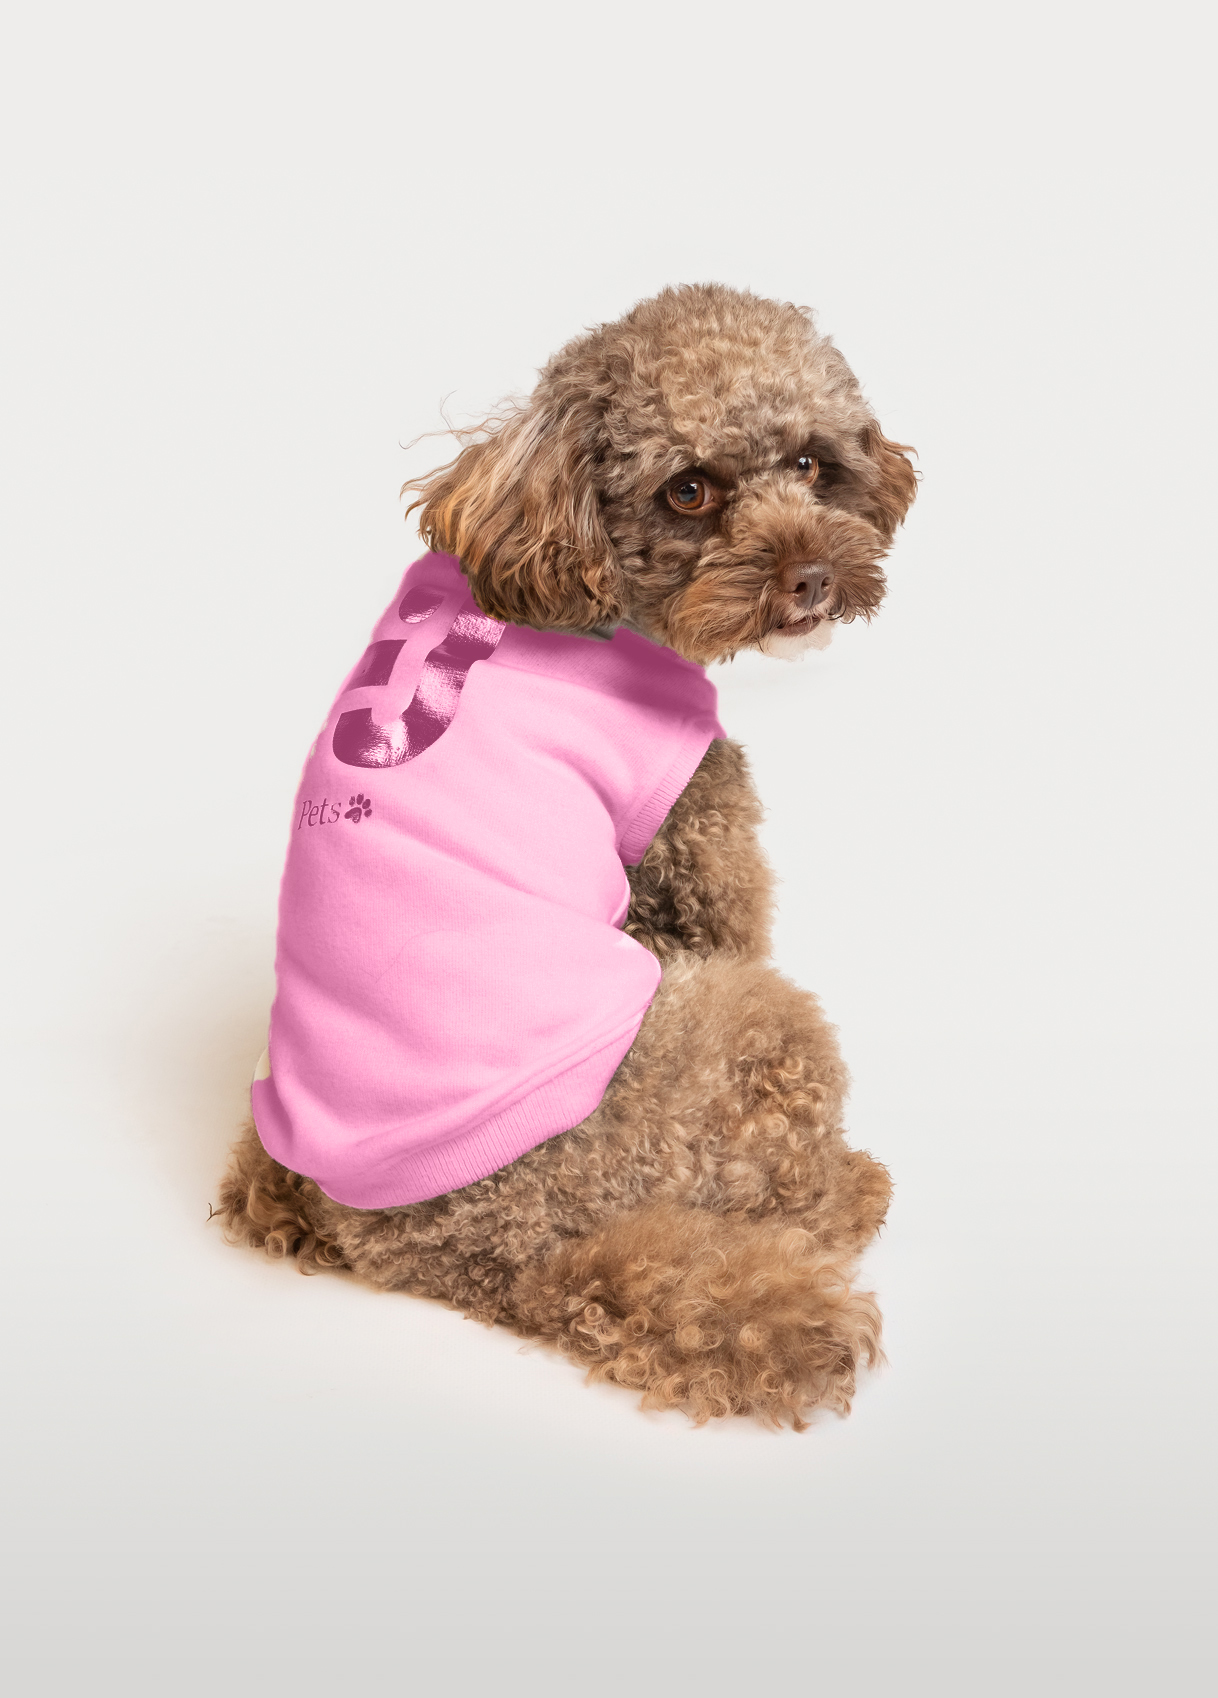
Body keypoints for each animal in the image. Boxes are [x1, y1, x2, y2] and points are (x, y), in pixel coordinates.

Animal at [219, 283, 917, 1428]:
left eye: (813, 463)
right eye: (688, 490)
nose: (812, 579)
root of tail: (494, 1252)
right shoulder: (695, 834)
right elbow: (729, 910)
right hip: (727, 1032)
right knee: (785, 1180)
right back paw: (849, 1189)